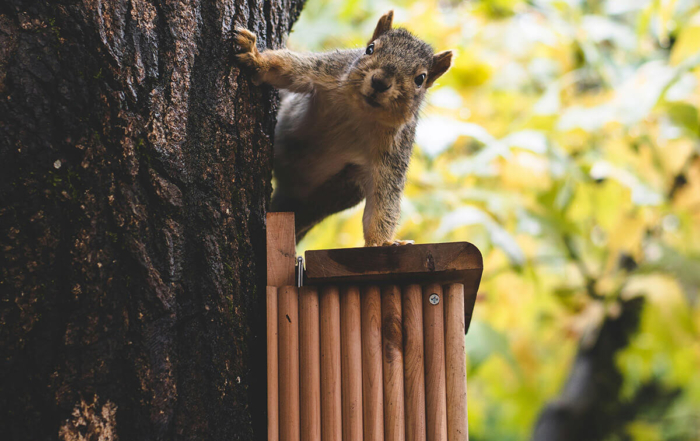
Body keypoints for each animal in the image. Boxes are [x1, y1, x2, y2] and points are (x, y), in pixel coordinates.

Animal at [235, 10, 454, 246]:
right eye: (370, 49)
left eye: (420, 79)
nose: (380, 81)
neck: (360, 113)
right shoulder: (326, 70)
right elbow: (287, 68)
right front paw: (254, 56)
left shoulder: (393, 155)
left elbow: (384, 202)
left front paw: (382, 243)